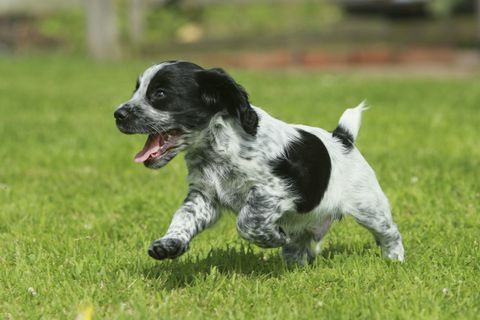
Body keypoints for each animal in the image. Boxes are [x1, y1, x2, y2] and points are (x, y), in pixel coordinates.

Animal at [114, 60, 404, 264]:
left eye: (160, 94)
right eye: (137, 90)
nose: (118, 114)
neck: (218, 147)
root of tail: (342, 138)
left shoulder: (273, 190)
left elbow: (247, 221)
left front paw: (273, 236)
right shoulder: (204, 196)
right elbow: (183, 218)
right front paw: (169, 244)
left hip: (368, 206)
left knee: (389, 232)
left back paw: (395, 259)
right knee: (300, 245)